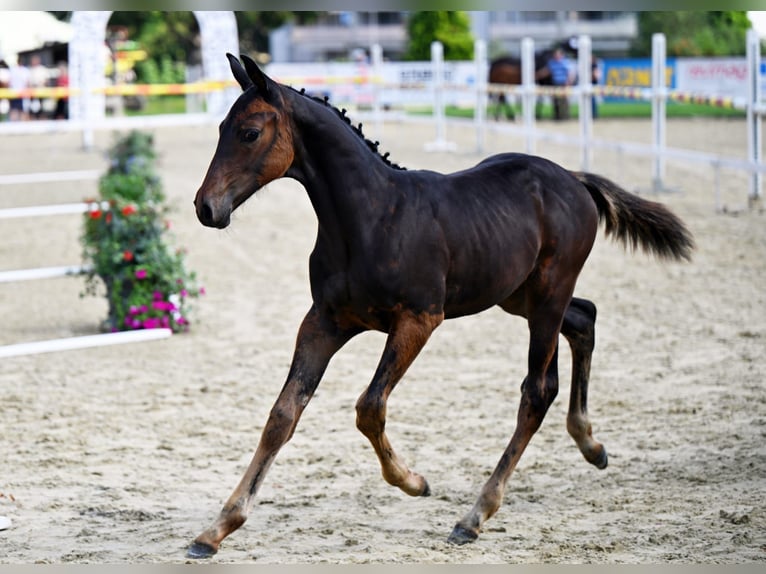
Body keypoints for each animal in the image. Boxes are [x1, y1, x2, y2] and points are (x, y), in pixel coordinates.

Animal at [188, 53, 696, 560]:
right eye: (220, 128)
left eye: (250, 132)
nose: (205, 208)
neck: (372, 218)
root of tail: (573, 179)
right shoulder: (324, 322)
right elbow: (282, 416)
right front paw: (216, 529)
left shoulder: (419, 319)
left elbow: (369, 406)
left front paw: (414, 482)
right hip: (518, 296)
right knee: (584, 318)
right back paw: (591, 445)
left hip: (548, 294)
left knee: (537, 390)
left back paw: (475, 515)